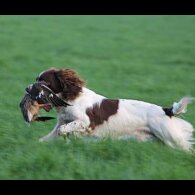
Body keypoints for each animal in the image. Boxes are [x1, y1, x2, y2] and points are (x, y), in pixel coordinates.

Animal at [20, 68, 194, 152]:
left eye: (43, 81)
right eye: (36, 80)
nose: (27, 89)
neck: (69, 100)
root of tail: (166, 110)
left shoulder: (85, 122)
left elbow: (64, 130)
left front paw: (72, 139)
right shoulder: (62, 123)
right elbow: (48, 137)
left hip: (170, 136)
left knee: (187, 148)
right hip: (163, 139)